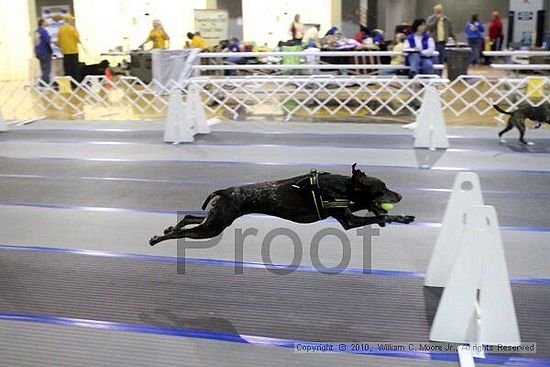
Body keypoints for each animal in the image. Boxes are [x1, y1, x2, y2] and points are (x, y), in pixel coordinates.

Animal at [149, 165, 416, 247]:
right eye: (382, 189)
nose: (400, 196)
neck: (342, 187)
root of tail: (223, 191)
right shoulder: (348, 221)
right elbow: (379, 217)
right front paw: (399, 217)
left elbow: (378, 216)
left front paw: (395, 217)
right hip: (213, 227)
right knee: (183, 232)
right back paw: (159, 238)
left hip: (216, 219)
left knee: (189, 218)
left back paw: (170, 228)